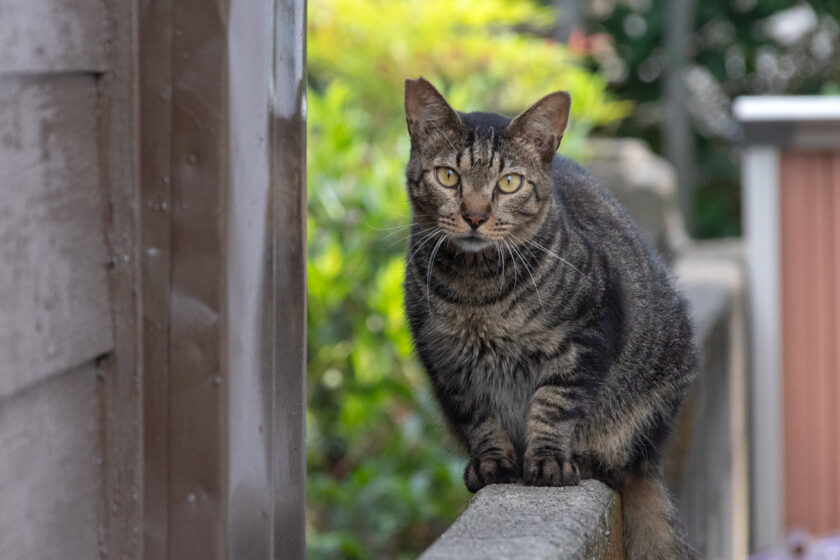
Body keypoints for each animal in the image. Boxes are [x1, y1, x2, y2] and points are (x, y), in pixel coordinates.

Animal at [400, 79, 696, 560]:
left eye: (509, 183)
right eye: (448, 177)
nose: (475, 215)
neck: (478, 291)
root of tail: (650, 461)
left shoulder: (586, 336)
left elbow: (554, 404)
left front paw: (547, 460)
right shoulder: (447, 362)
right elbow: (480, 415)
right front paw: (493, 462)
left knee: (620, 461)